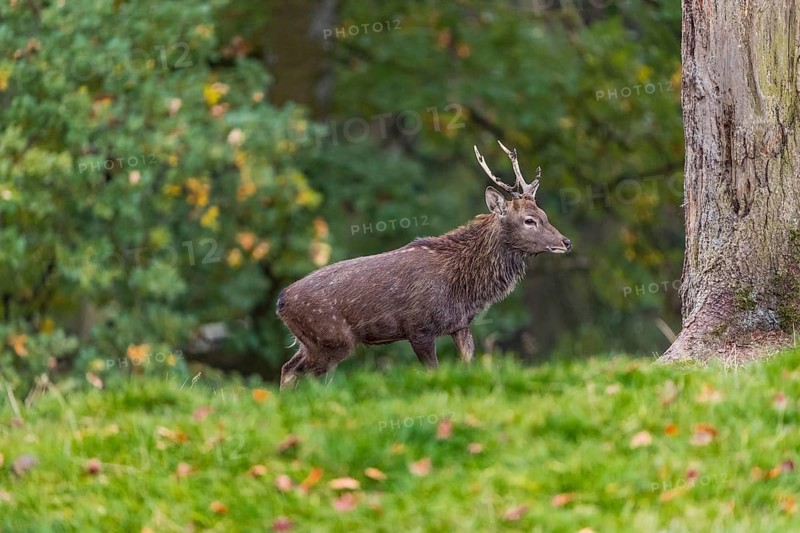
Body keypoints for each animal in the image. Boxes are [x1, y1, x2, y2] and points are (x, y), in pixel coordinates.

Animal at [276, 141, 572, 389]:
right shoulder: (418, 327)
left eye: (544, 214)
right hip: (330, 340)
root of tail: (281, 302)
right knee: (305, 374)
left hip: (311, 343)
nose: (566, 242)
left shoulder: (459, 324)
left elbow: (469, 365)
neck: (463, 287)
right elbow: (433, 371)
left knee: (288, 368)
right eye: (529, 220)